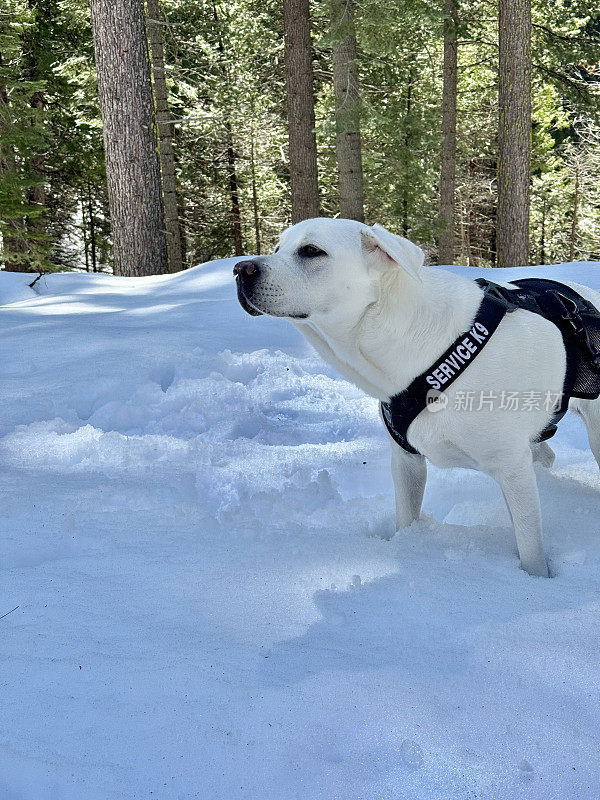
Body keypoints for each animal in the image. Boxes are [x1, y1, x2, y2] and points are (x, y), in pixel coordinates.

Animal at [234, 219, 600, 576]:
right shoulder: (406, 460)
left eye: (312, 251)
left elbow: (530, 550)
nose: (240, 268)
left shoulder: (511, 468)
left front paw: (536, 580)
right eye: (277, 248)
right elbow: (407, 514)